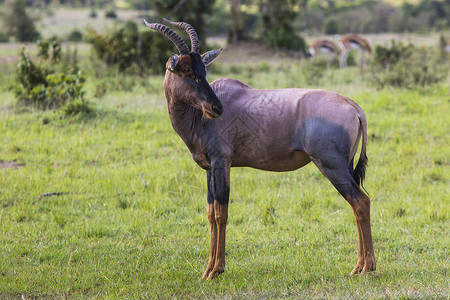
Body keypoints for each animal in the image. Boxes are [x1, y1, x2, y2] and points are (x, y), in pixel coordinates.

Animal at [144, 18, 376, 280]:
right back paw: (358, 267)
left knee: (361, 202)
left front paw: (216, 270)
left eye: (203, 71)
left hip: (332, 165)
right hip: (345, 164)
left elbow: (221, 213)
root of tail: (354, 106)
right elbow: (210, 213)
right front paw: (207, 270)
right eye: (186, 70)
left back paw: (366, 267)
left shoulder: (221, 162)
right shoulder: (209, 168)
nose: (216, 108)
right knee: (357, 205)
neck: (199, 118)